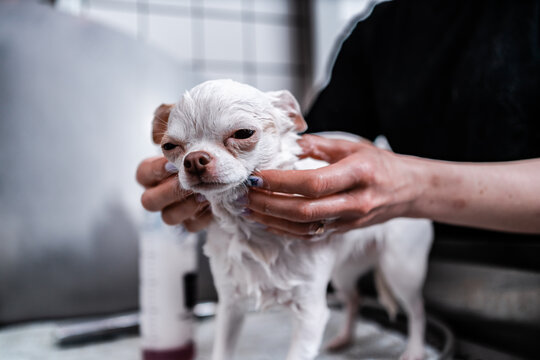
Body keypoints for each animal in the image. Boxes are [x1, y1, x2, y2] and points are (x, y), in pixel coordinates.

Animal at [160, 80, 434, 358]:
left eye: (243, 133)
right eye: (169, 147)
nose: (194, 160)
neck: (250, 228)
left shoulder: (310, 313)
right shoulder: (230, 307)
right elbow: (222, 351)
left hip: (400, 268)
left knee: (417, 309)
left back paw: (414, 349)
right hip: (344, 273)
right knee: (354, 299)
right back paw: (345, 338)